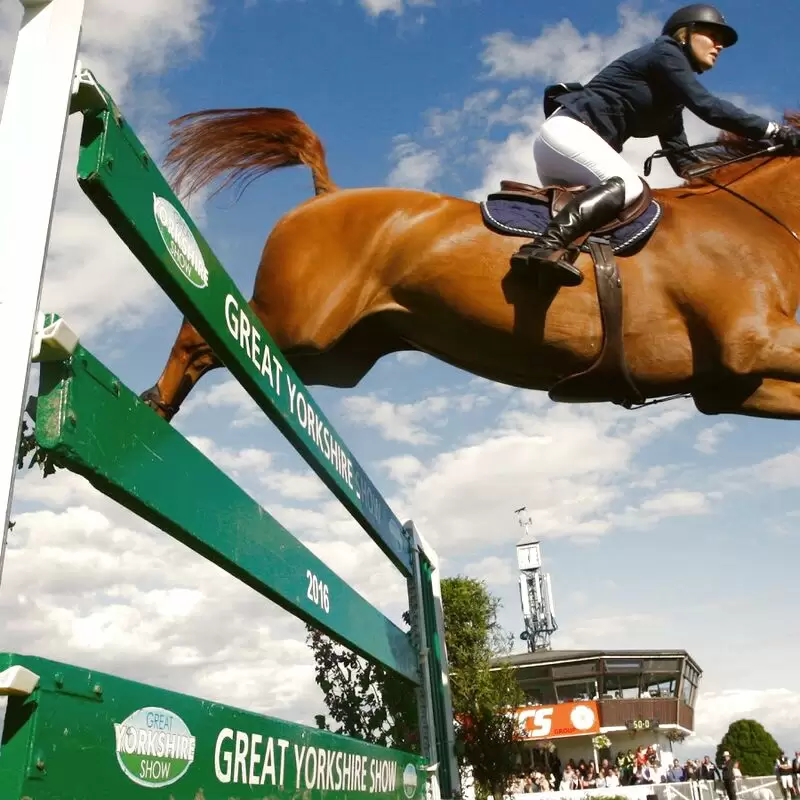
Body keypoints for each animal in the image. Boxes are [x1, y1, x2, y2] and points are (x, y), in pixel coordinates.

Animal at [141, 108, 800, 422]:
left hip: (334, 358)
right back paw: (157, 404)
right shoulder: (753, 343)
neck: (754, 220)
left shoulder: (729, 385)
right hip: (297, 322)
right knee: (202, 331)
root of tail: (326, 195)